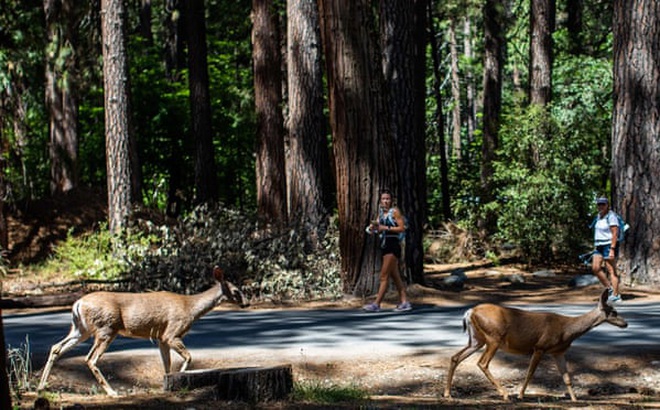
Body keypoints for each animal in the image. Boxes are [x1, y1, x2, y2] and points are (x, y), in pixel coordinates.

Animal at [36, 264, 248, 396]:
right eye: (236, 291)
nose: (247, 303)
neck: (190, 308)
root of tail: (77, 304)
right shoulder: (172, 333)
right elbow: (188, 357)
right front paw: (181, 376)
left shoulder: (161, 338)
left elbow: (166, 365)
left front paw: (168, 384)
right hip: (106, 328)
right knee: (91, 359)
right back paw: (112, 392)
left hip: (81, 329)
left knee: (56, 347)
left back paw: (41, 387)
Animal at [446, 290, 628, 402]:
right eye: (613, 312)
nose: (625, 324)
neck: (567, 330)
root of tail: (470, 311)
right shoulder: (540, 347)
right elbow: (530, 372)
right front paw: (520, 395)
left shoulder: (558, 351)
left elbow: (567, 377)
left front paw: (575, 399)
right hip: (493, 338)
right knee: (482, 363)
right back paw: (505, 394)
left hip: (477, 339)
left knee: (455, 357)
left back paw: (448, 394)